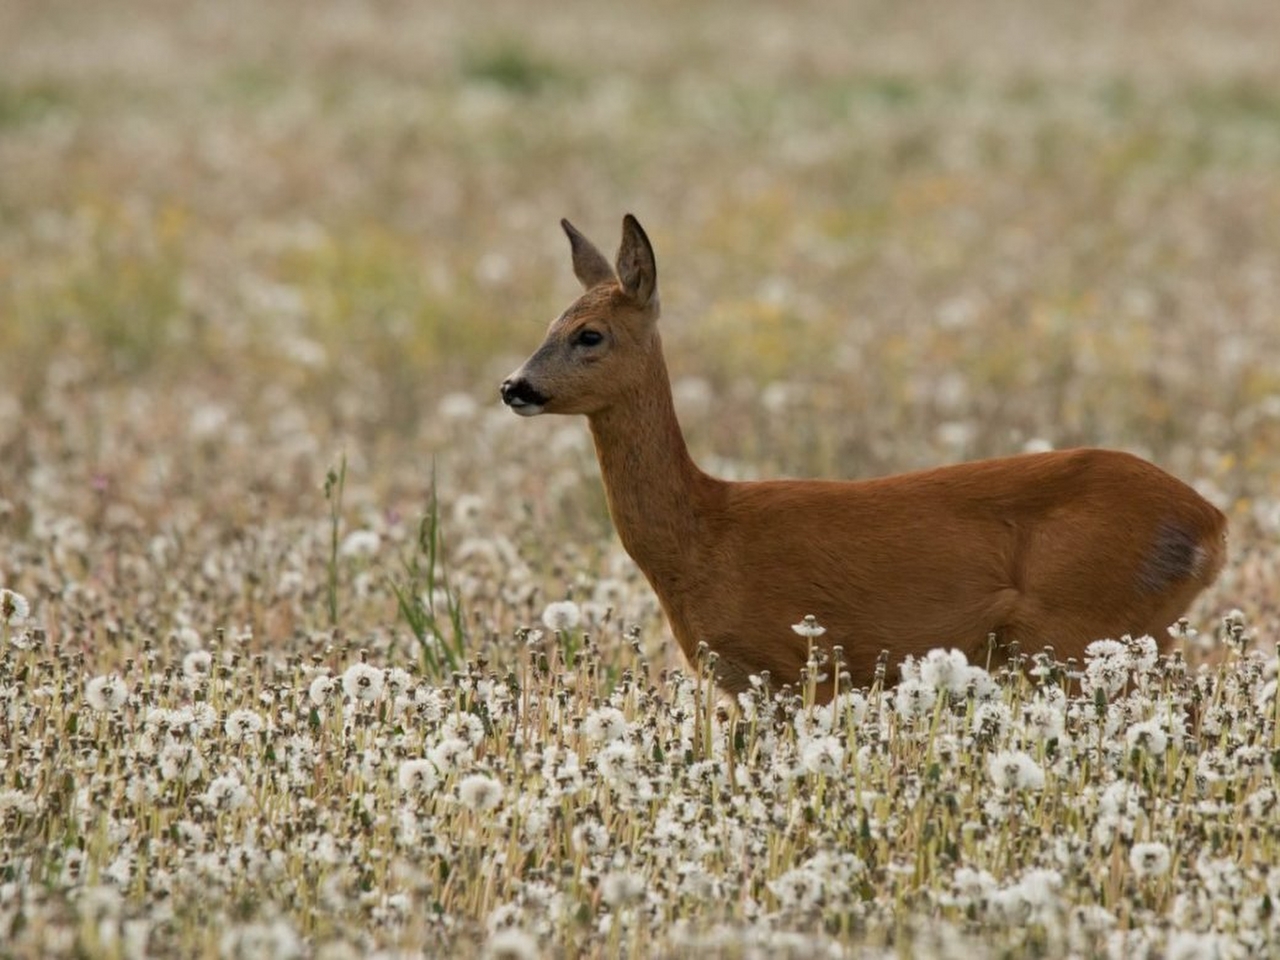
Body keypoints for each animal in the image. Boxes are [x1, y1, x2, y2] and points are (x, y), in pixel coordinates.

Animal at [496, 213, 1218, 701]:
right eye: (548, 325)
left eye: (590, 334)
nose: (514, 386)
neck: (706, 534)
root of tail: (1212, 524)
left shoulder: (796, 668)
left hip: (1080, 629)